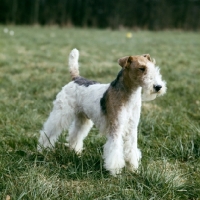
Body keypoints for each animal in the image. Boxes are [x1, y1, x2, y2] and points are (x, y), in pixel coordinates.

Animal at [38, 49, 166, 176]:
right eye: (141, 68)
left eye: (153, 66)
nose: (158, 87)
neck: (129, 95)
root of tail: (76, 78)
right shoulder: (116, 127)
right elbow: (115, 149)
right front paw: (115, 171)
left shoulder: (132, 128)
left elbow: (131, 149)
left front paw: (134, 169)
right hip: (61, 113)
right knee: (48, 132)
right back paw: (43, 149)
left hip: (82, 118)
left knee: (75, 134)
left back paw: (75, 151)